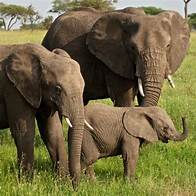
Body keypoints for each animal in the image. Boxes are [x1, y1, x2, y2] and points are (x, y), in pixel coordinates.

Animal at [0, 43, 86, 181]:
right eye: (58, 89)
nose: (75, 184)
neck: (45, 57)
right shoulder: (13, 89)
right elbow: (24, 131)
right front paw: (27, 182)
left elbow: (53, 131)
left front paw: (62, 181)